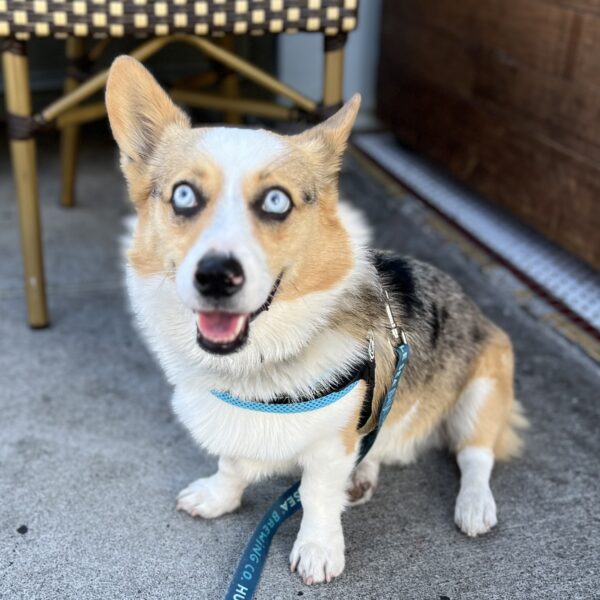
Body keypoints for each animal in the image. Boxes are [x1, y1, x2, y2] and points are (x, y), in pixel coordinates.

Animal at [104, 57, 524, 584]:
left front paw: (319, 548)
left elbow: (315, 494)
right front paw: (219, 497)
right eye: (183, 195)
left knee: (475, 455)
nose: (216, 276)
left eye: (276, 201)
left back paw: (474, 506)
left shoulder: (332, 443)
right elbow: (232, 464)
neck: (262, 358)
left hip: (482, 391)